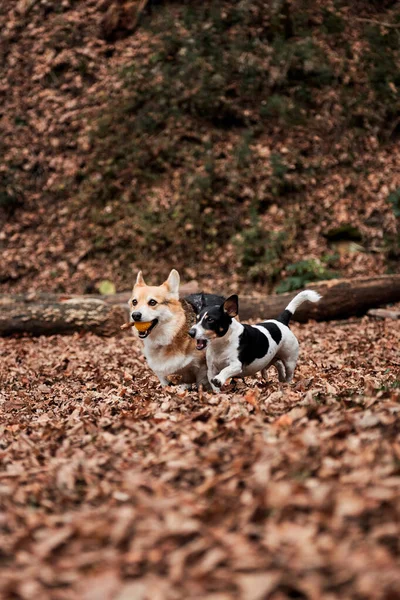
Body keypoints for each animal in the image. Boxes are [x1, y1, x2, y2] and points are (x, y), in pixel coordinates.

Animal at [188, 290, 322, 394]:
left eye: (210, 320)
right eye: (197, 319)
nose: (191, 332)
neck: (221, 344)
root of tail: (280, 321)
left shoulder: (236, 365)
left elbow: (226, 370)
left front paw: (219, 379)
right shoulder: (211, 369)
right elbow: (214, 385)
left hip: (290, 360)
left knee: (288, 373)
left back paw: (287, 384)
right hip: (271, 357)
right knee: (278, 363)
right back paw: (279, 377)